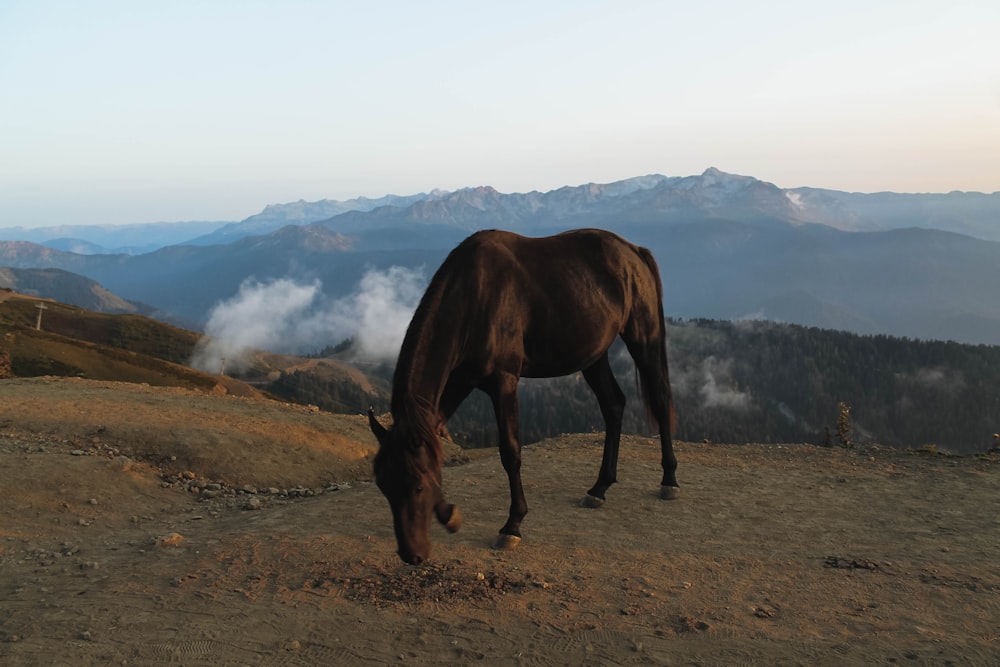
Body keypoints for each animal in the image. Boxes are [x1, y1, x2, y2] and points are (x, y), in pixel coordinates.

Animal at [370, 228, 680, 564]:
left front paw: (512, 525)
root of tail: (633, 250)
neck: (474, 297)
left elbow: (511, 453)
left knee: (660, 398)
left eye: (416, 487)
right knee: (614, 405)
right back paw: (599, 488)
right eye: (383, 485)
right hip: (593, 355)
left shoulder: (504, 381)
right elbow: (435, 431)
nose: (410, 554)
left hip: (642, 335)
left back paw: (669, 480)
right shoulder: (462, 379)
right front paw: (448, 514)